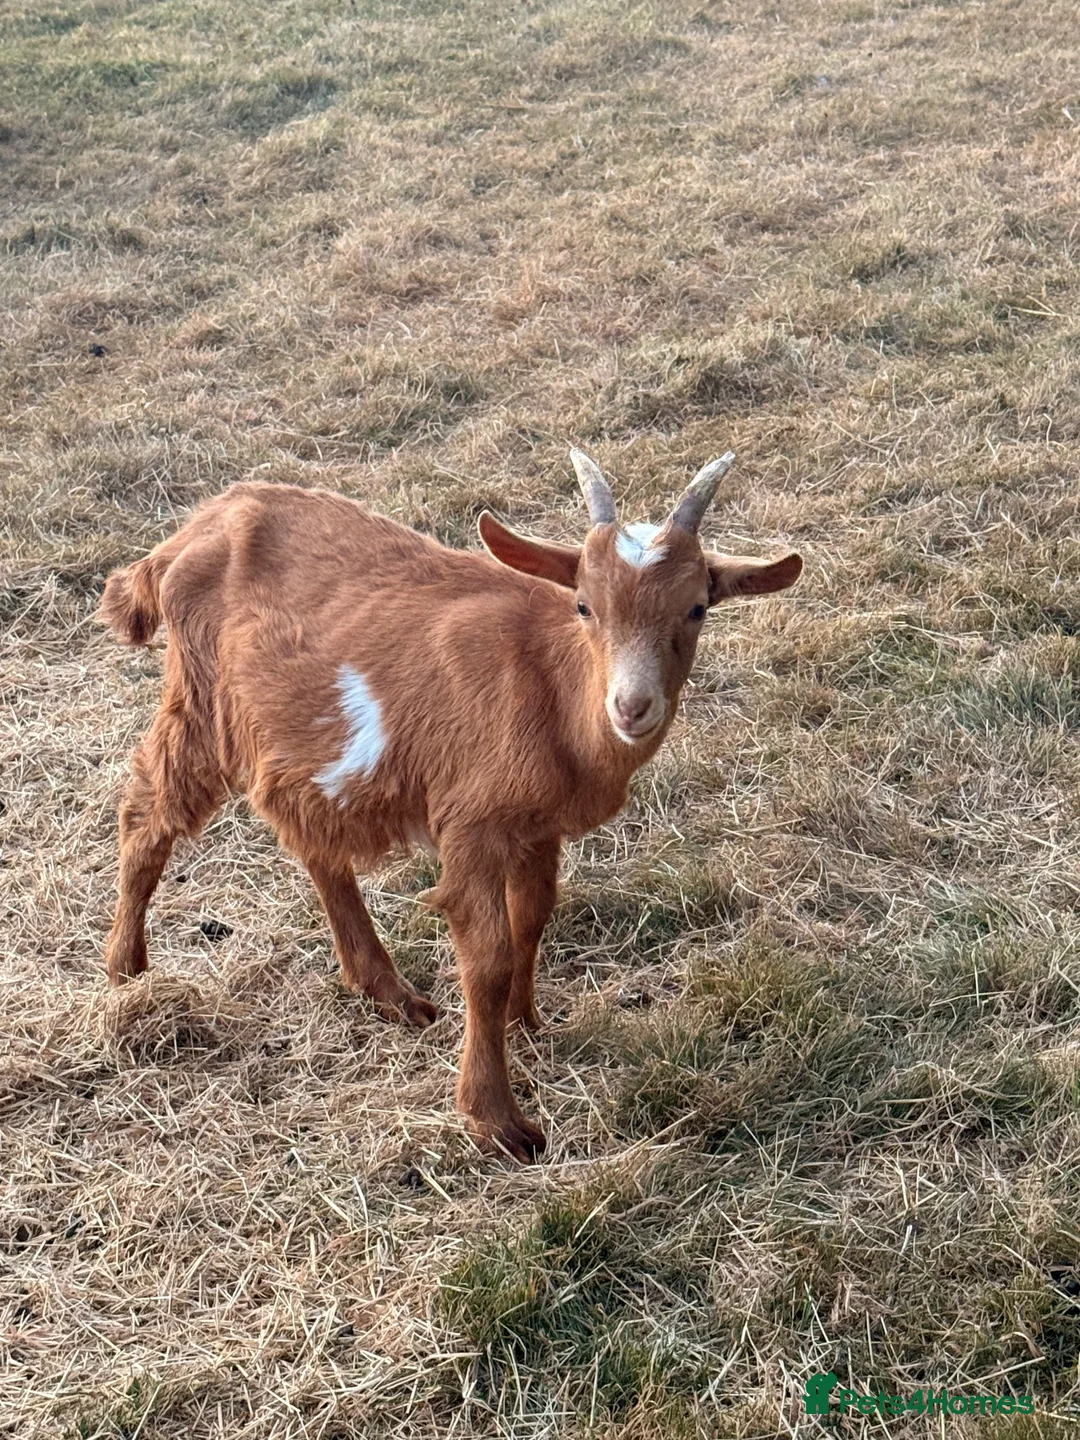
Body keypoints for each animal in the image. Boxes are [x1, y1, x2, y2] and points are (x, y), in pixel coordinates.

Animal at [100, 451, 802, 1160]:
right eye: (584, 605)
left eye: (697, 609)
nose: (631, 707)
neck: (551, 686)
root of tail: (189, 531)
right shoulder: (472, 822)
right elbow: (486, 957)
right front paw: (498, 1119)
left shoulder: (537, 825)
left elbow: (533, 917)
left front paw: (525, 1021)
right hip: (202, 698)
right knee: (148, 812)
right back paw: (126, 970)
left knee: (311, 838)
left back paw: (389, 994)